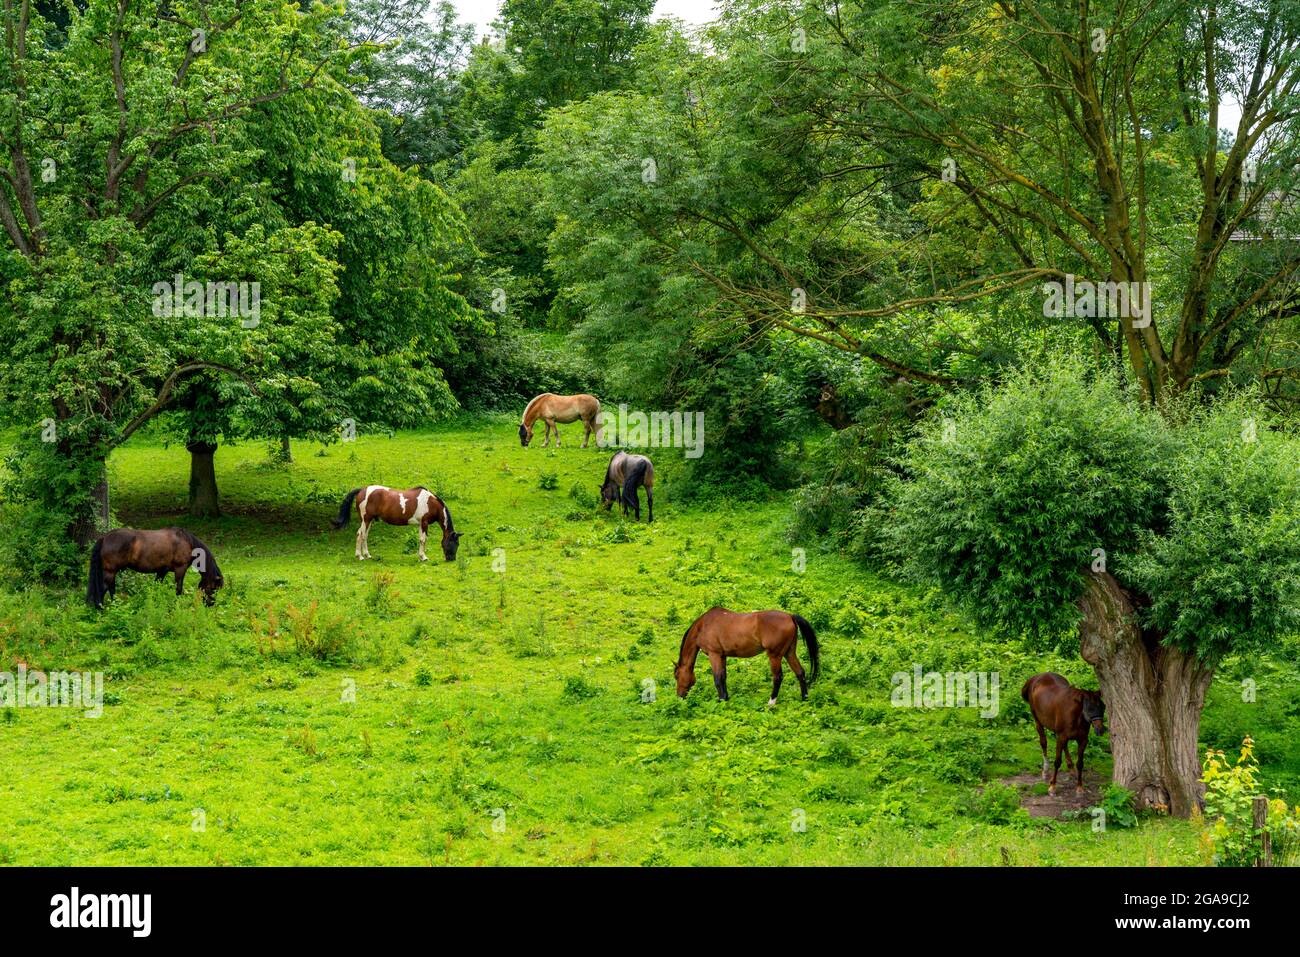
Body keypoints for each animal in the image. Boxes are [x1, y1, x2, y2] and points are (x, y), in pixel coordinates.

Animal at [87, 527, 224, 608]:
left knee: (111, 588)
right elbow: (178, 589)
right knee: (103, 588)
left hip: (113, 572)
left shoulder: (162, 571)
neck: (186, 542)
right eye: (213, 588)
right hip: (110, 571)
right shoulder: (180, 569)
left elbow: (156, 587)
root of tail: (105, 537)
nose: (210, 604)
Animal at [330, 486, 462, 561]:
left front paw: (420, 556)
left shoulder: (420, 524)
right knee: (360, 535)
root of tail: (362, 490)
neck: (431, 503)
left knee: (364, 536)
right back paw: (360, 556)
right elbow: (423, 540)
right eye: (454, 543)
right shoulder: (424, 523)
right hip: (366, 520)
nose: (452, 559)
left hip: (369, 520)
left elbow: (421, 540)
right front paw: (423, 557)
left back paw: (367, 555)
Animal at [676, 608, 816, 707]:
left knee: (778, 677)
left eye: (676, 676)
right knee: (800, 672)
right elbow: (723, 677)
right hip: (789, 653)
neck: (704, 626)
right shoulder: (722, 656)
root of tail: (790, 616)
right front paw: (726, 698)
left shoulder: (714, 654)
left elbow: (717, 679)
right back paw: (805, 698)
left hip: (775, 656)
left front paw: (721, 701)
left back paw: (770, 703)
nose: (679, 696)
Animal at [1024, 670, 1107, 800]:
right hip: (1038, 721)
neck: (1076, 716)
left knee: (1064, 746)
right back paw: (1045, 771)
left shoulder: (1082, 740)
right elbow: (1057, 761)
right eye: (1090, 708)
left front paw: (1079, 788)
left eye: (1103, 707)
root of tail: (1036, 677)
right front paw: (1052, 787)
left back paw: (1071, 768)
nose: (1101, 729)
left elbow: (1080, 763)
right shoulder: (1062, 736)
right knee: (1043, 742)